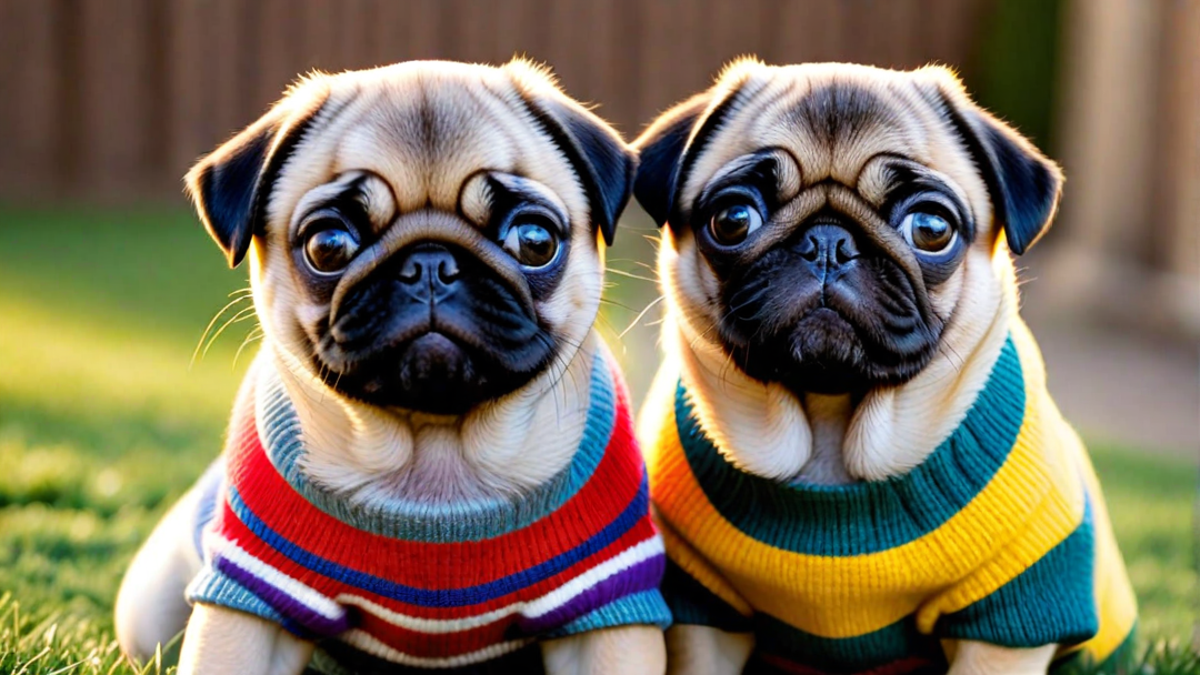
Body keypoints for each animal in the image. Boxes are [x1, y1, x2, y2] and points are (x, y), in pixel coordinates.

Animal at [113, 57, 672, 672]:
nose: (429, 263)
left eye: (534, 240)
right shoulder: (253, 602)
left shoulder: (605, 608)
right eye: (328, 245)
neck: (436, 454)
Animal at [633, 57, 1137, 672]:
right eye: (733, 218)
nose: (828, 242)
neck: (830, 427)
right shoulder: (706, 607)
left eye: (931, 229)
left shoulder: (1009, 615)